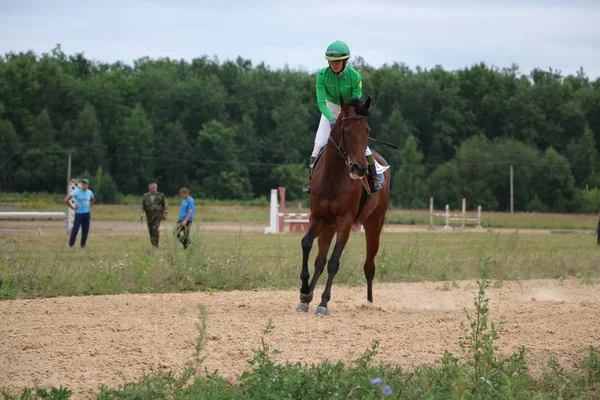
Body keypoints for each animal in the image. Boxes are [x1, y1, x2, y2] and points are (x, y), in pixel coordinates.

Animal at [296, 96, 392, 316]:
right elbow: (307, 244)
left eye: (367, 130)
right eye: (346, 131)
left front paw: (323, 302)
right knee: (320, 260)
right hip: (329, 226)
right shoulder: (318, 217)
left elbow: (334, 261)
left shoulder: (345, 222)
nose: (360, 168)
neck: (333, 176)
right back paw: (308, 295)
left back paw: (369, 302)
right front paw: (305, 292)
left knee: (369, 265)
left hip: (374, 224)